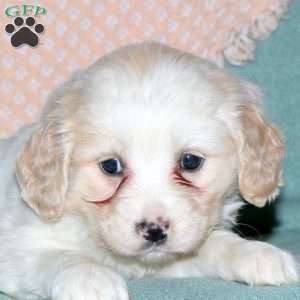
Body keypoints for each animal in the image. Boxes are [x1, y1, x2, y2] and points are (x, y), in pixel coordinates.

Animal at [0, 42, 298, 300]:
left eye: (190, 161)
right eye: (111, 166)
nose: (154, 231)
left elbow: (217, 243)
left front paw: (258, 254)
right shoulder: (15, 250)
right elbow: (55, 256)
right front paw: (89, 277)